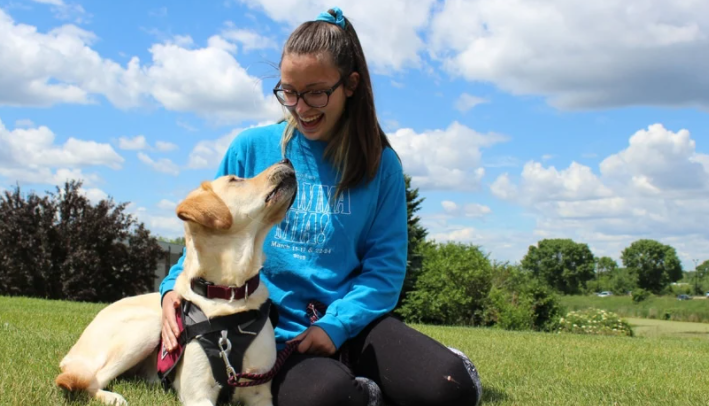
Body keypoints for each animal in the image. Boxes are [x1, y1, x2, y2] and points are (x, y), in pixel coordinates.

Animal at [55, 159, 296, 406]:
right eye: (235, 180)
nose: (286, 161)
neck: (229, 293)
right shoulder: (198, 395)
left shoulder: (260, 392)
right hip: (151, 325)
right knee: (90, 380)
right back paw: (113, 397)